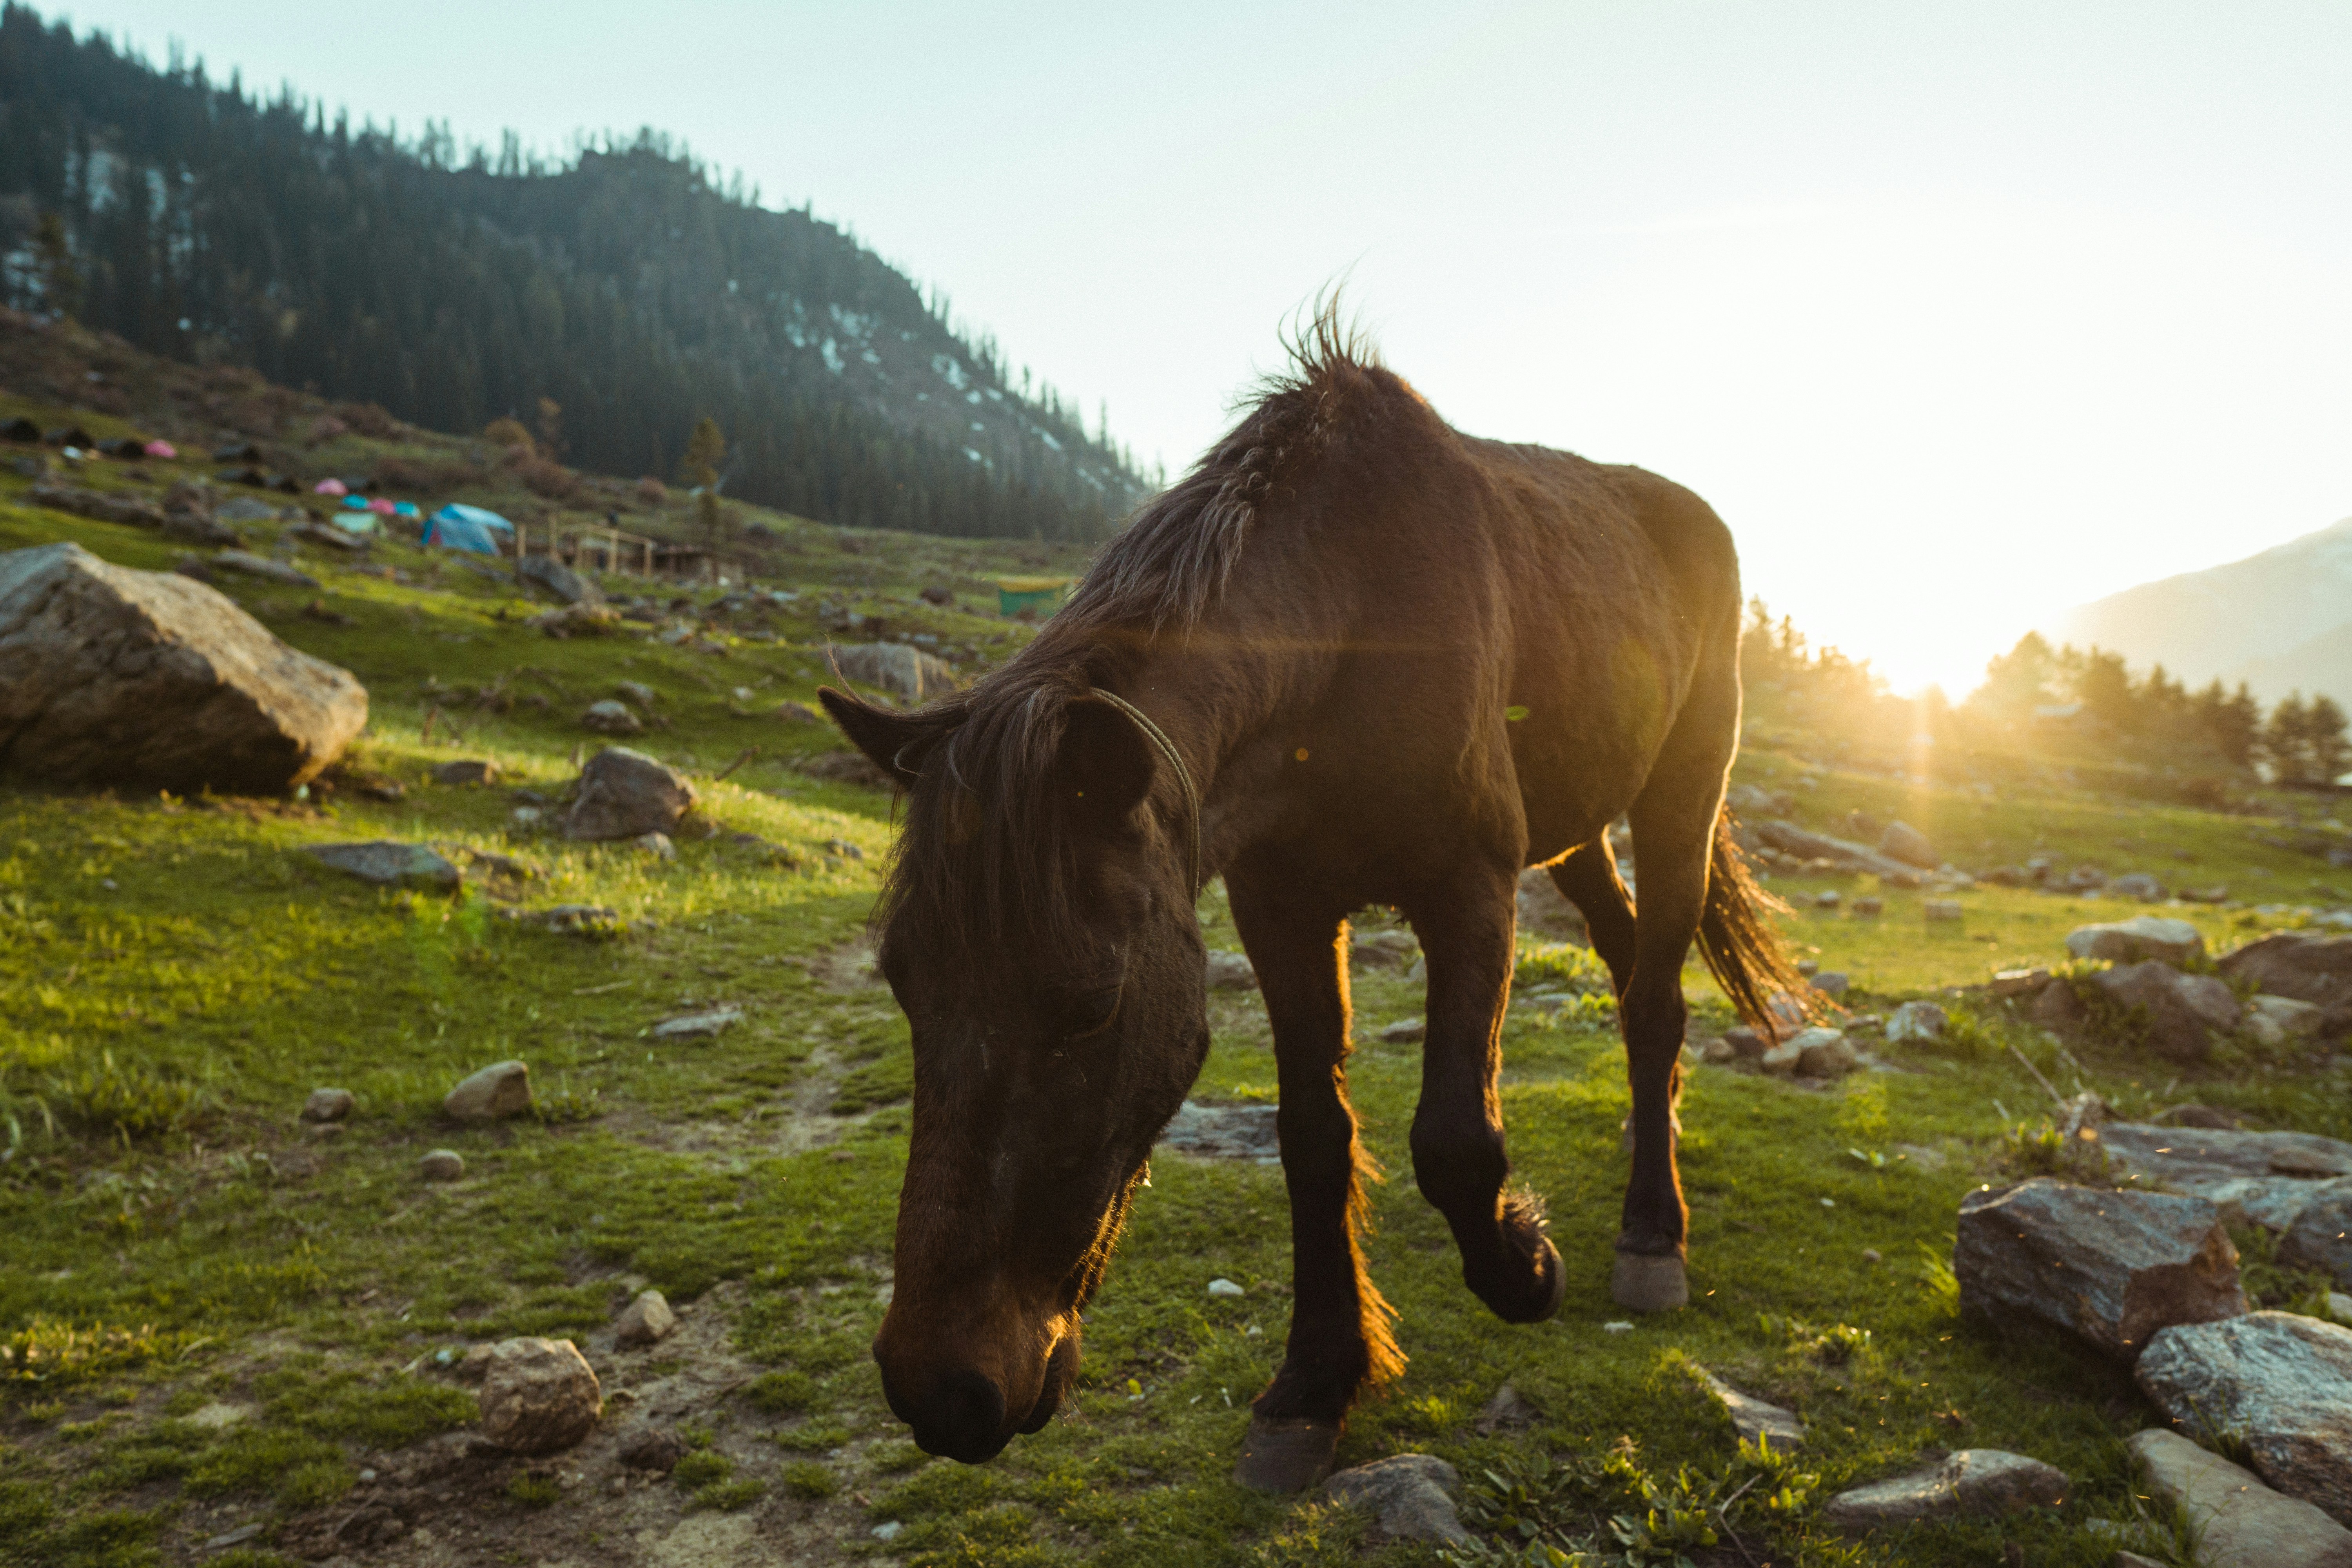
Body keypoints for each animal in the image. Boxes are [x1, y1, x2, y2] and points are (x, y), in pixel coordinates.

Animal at [820, 316, 1804, 1491]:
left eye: (1091, 1006)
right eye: (903, 980)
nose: (942, 1392)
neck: (1352, 624)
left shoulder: (1469, 885)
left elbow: (1455, 1140)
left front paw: (1526, 1259)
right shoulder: (1280, 907)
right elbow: (1311, 1137)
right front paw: (1314, 1383)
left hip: (1679, 797)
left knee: (1656, 996)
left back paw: (1652, 1236)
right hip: (1576, 833)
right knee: (1629, 970)